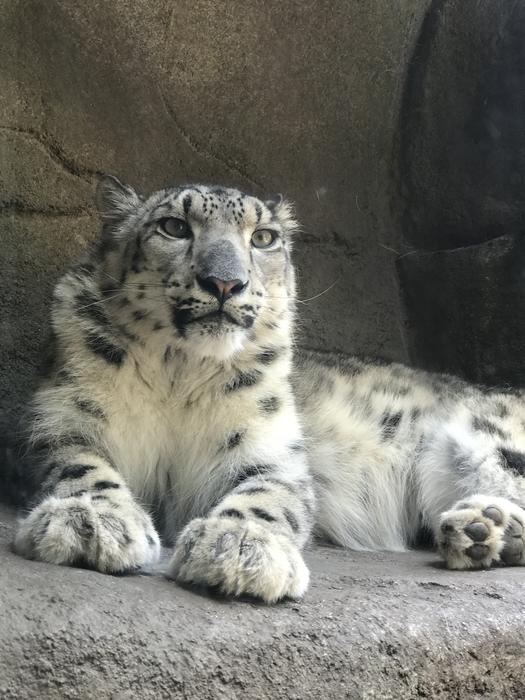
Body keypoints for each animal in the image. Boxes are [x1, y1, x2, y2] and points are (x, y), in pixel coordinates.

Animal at [13, 175, 525, 602]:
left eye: (263, 237)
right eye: (174, 226)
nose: (225, 282)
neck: (178, 372)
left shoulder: (269, 444)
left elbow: (267, 493)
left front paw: (241, 546)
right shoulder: (65, 416)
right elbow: (81, 465)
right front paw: (91, 521)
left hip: (488, 440)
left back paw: (482, 528)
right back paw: (485, 532)